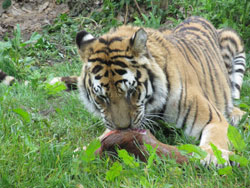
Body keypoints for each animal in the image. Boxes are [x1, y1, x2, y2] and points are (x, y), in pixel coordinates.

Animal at [50, 16, 246, 166]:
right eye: (101, 97)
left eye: (131, 91)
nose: (124, 129)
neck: (152, 106)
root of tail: (196, 17)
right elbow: (98, 139)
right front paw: (78, 151)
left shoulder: (213, 119)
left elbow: (214, 140)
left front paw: (213, 157)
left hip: (233, 42)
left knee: (234, 94)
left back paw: (236, 113)